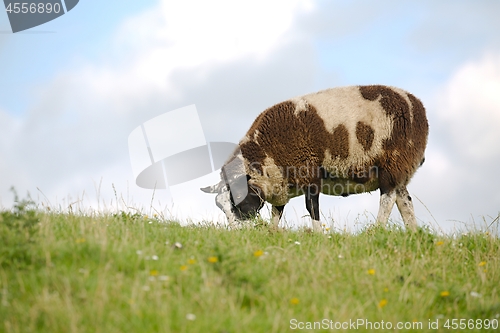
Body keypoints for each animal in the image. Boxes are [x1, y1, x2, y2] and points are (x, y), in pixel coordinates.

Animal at [201, 85, 428, 231]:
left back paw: (377, 230)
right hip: (401, 169)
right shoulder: (281, 184)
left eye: (239, 198)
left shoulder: (309, 173)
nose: (239, 235)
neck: (266, 154)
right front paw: (271, 234)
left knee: (388, 199)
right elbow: (277, 212)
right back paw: (413, 235)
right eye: (220, 206)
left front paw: (319, 235)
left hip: (392, 162)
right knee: (405, 202)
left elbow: (312, 209)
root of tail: (416, 105)